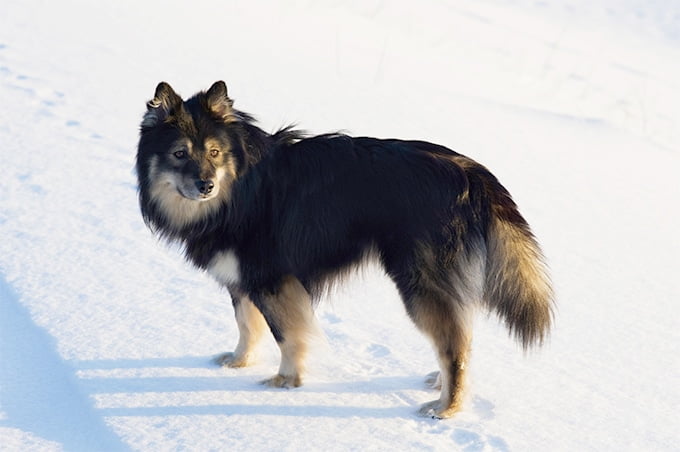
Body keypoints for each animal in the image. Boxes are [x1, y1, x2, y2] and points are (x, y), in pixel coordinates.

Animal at [134, 80, 552, 416]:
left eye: (214, 153)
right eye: (180, 154)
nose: (205, 185)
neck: (239, 191)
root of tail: (472, 173)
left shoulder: (274, 280)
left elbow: (287, 335)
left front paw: (286, 382)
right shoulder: (243, 280)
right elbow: (247, 325)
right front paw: (239, 362)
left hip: (420, 282)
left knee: (455, 349)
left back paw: (446, 408)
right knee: (459, 336)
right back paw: (441, 384)